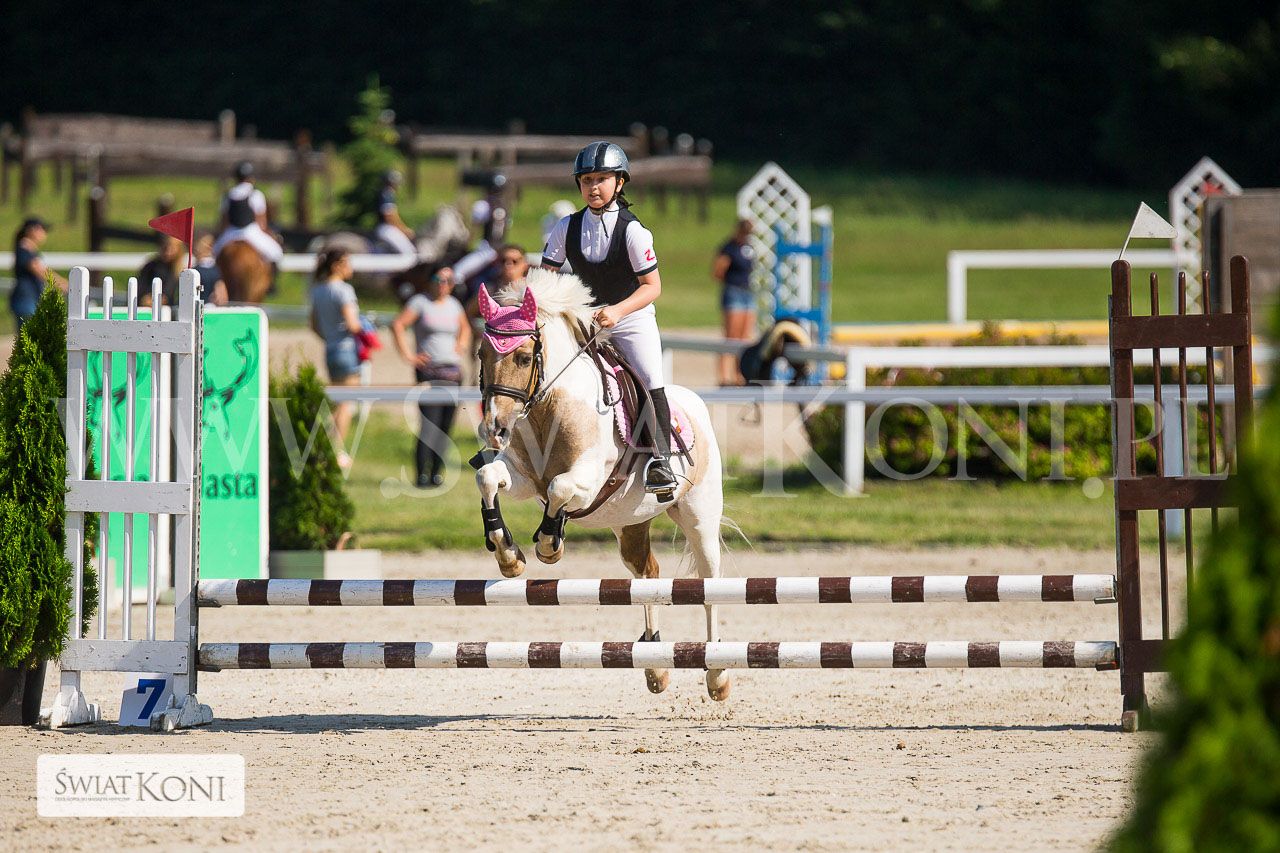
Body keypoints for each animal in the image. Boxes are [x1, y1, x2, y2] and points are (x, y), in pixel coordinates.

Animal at [473, 268, 730, 701]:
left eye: (523, 357)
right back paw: (655, 665)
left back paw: (718, 675)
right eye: (481, 355)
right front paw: (508, 555)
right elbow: (488, 476)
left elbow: (559, 489)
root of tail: (695, 404)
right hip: (629, 524)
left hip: (699, 520)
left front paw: (549, 545)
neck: (548, 409)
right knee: (648, 574)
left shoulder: (588, 479)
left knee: (710, 586)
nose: (494, 430)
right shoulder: (523, 478)